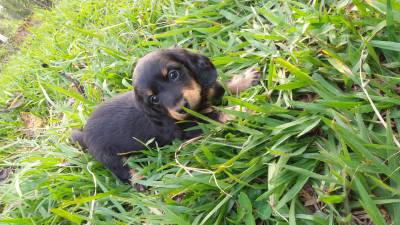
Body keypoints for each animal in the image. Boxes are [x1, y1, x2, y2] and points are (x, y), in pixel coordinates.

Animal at [71, 48, 260, 184]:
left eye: (173, 74)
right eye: (153, 99)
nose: (182, 108)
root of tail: (84, 134)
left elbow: (222, 88)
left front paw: (245, 80)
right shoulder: (189, 126)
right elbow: (217, 114)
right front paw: (242, 109)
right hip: (108, 156)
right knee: (123, 170)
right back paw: (140, 180)